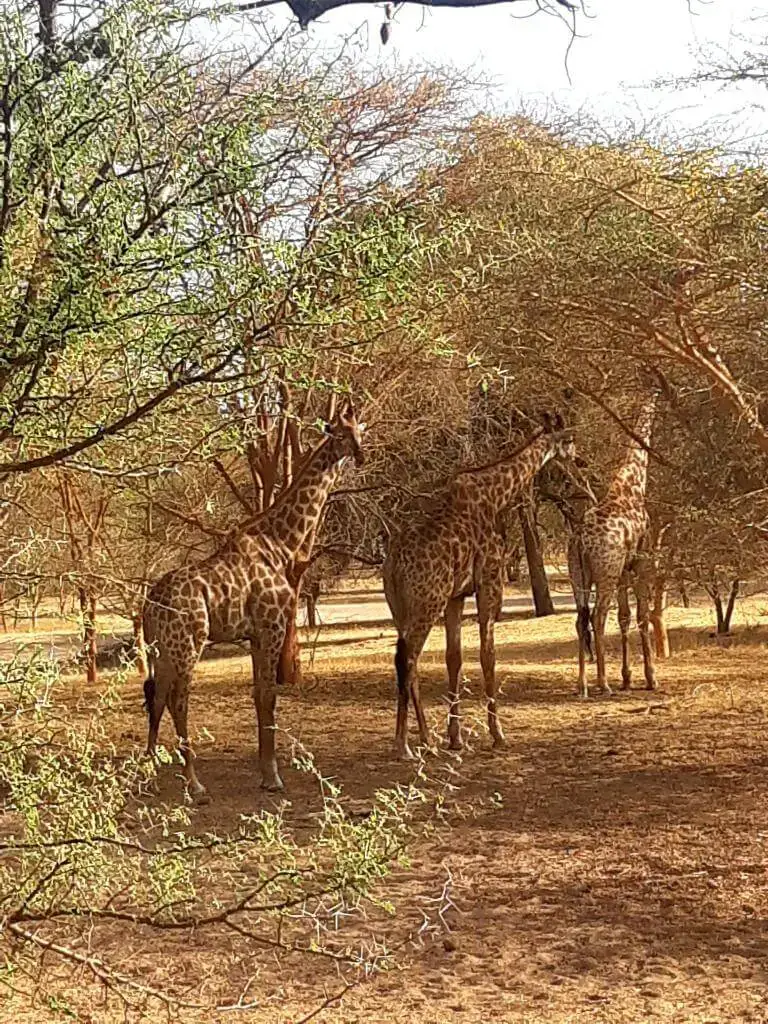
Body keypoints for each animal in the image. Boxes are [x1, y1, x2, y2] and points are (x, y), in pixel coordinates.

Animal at [143, 403, 364, 794]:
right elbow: (269, 696)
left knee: (156, 697)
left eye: (359, 431)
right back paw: (195, 785)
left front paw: (265, 774)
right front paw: (274, 778)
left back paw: (151, 778)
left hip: (163, 649)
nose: (360, 455)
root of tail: (148, 604)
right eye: (339, 433)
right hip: (189, 643)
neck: (283, 542)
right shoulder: (272, 627)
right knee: (178, 700)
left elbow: (260, 697)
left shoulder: (257, 635)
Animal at [385, 411, 577, 757]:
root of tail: (392, 565)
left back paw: (427, 740)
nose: (578, 459)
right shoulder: (490, 582)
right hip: (426, 603)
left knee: (410, 660)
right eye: (569, 439)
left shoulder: (456, 596)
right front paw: (498, 734)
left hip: (401, 608)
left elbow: (454, 659)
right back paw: (403, 744)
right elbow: (489, 656)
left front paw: (455, 738)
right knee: (406, 658)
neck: (496, 495)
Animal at [569, 389, 663, 696]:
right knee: (597, 617)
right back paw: (603, 683)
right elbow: (642, 615)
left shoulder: (623, 570)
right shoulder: (642, 563)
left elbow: (624, 616)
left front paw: (627, 677)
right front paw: (650, 678)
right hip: (605, 571)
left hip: (579, 574)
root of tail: (580, 540)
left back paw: (583, 685)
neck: (633, 484)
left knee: (581, 619)